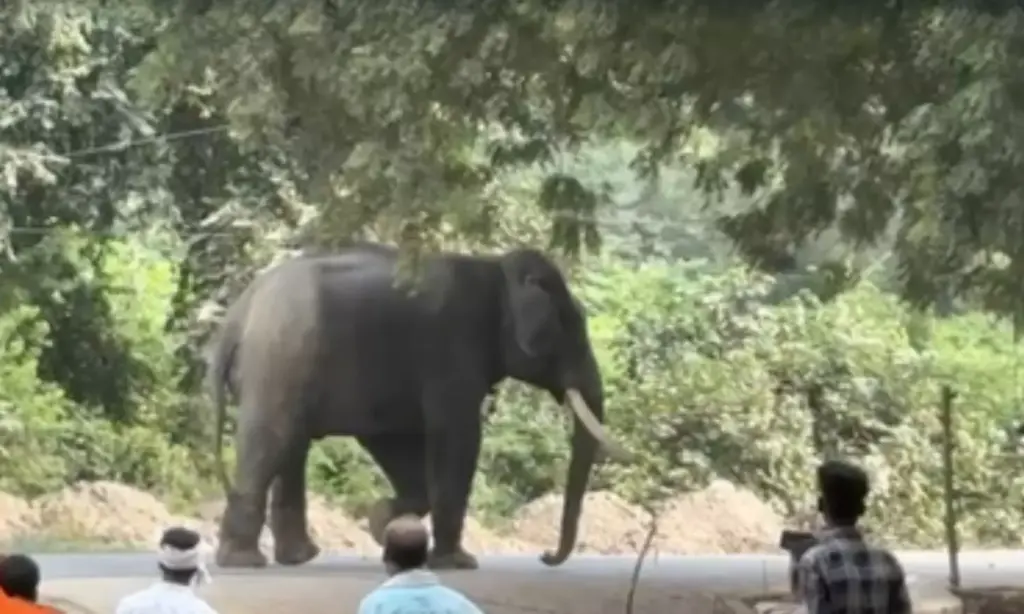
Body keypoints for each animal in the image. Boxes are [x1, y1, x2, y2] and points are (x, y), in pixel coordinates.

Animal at [205, 242, 629, 570]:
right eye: (572, 327)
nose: (545, 557)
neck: (496, 268)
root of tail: (236, 317)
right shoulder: (452, 350)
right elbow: (457, 437)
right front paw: (458, 563)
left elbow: (392, 438)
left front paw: (381, 525)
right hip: (278, 361)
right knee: (271, 441)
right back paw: (244, 562)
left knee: (292, 446)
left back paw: (298, 557)